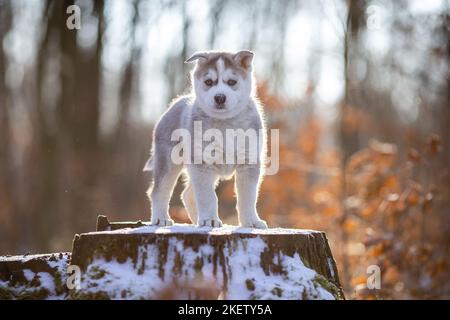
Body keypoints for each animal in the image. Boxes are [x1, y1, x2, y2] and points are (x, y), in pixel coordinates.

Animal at [144, 50, 268, 228]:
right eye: (209, 82)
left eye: (232, 82)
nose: (220, 97)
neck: (225, 124)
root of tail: (175, 103)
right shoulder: (202, 163)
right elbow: (207, 196)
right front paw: (209, 219)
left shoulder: (249, 161)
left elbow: (248, 197)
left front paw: (251, 221)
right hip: (167, 162)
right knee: (158, 190)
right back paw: (161, 218)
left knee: (187, 194)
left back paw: (197, 220)